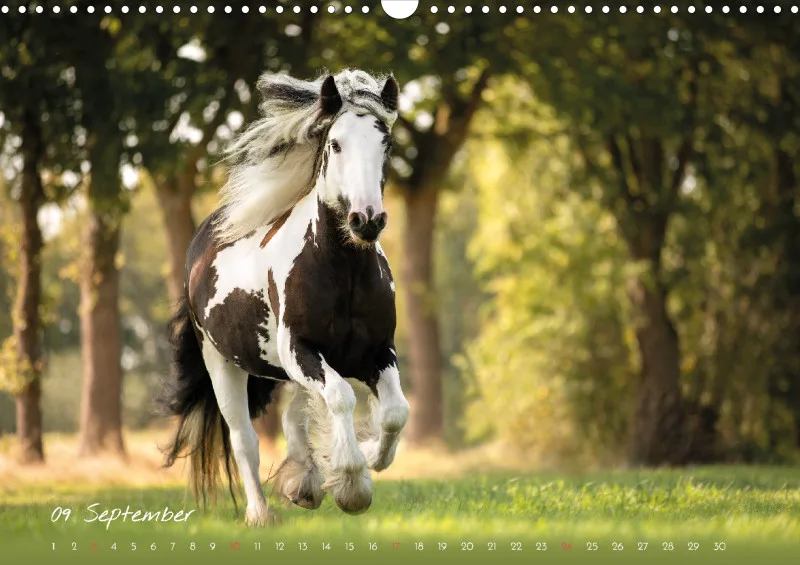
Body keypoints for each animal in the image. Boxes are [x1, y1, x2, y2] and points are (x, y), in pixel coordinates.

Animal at [161, 69, 410, 526]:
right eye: (335, 144)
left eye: (385, 143)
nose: (367, 220)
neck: (343, 272)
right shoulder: (300, 349)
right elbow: (340, 398)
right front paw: (351, 484)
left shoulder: (378, 351)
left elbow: (394, 412)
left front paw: (361, 459)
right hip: (221, 363)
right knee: (244, 439)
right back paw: (261, 513)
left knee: (295, 415)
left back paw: (303, 483)